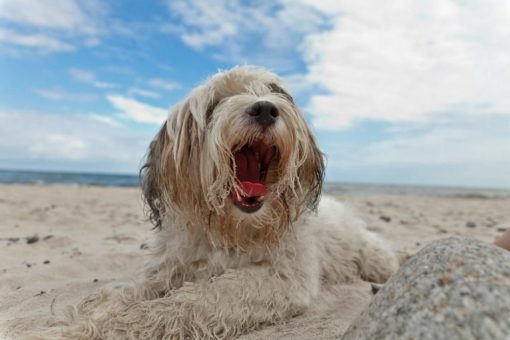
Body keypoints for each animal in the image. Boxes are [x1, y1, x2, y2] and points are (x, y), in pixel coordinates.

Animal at [39, 66, 398, 340]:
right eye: (215, 103)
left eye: (276, 92)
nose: (265, 108)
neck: (232, 229)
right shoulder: (170, 264)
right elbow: (126, 291)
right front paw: (87, 320)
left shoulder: (282, 278)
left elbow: (193, 301)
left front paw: (118, 327)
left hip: (370, 255)